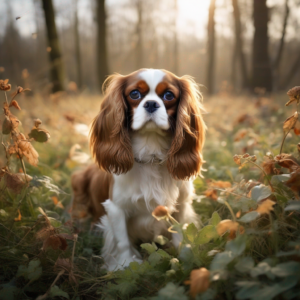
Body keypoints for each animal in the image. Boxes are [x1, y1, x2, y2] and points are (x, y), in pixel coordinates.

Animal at [71, 69, 205, 270]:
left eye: (169, 95)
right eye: (134, 94)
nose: (151, 104)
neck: (151, 155)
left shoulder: (181, 205)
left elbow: (179, 233)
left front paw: (185, 256)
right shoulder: (116, 208)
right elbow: (122, 241)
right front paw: (126, 264)